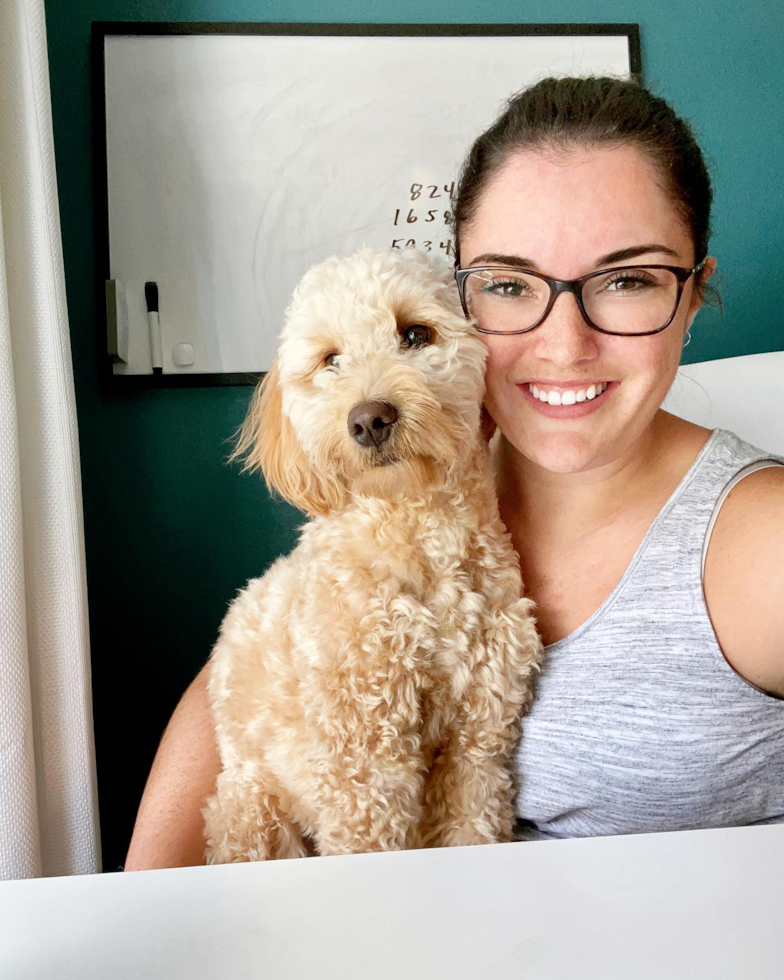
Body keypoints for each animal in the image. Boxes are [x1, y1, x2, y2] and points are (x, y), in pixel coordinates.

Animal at [202, 247, 544, 864]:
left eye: (415, 333)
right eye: (329, 360)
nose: (368, 419)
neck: (420, 533)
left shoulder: (479, 737)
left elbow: (471, 822)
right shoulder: (363, 755)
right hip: (251, 811)